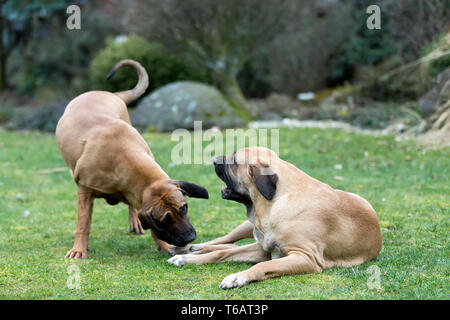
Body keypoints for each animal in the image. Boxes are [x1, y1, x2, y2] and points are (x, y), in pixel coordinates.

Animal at [56, 59, 209, 260]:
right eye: (164, 220)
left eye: (184, 208)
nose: (190, 238)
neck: (122, 155)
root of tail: (111, 94)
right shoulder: (84, 190)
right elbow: (83, 223)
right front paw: (79, 249)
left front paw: (163, 245)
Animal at [167, 148, 382, 290]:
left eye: (234, 161)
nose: (213, 160)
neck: (278, 199)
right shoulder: (265, 248)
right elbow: (220, 253)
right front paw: (186, 258)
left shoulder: (305, 257)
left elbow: (262, 264)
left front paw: (238, 277)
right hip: (246, 227)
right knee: (225, 242)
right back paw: (189, 248)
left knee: (231, 245)